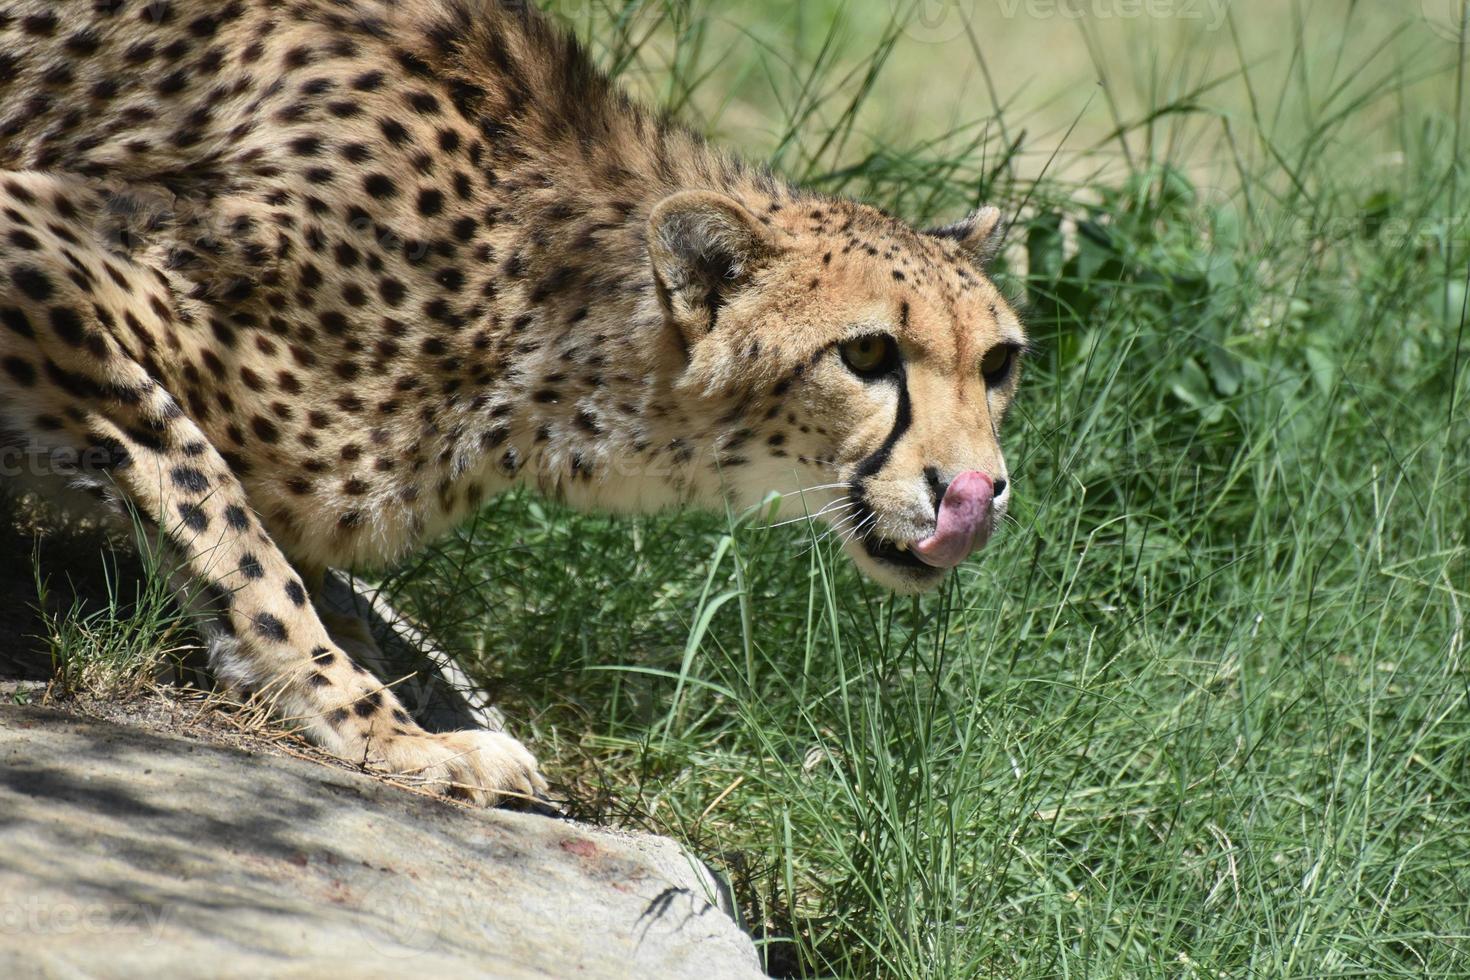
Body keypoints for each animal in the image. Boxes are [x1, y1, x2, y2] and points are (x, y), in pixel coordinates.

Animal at [0, 0, 1029, 805]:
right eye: (867, 352)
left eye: (999, 363)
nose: (976, 492)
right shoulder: (37, 239)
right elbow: (223, 520)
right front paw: (378, 726)